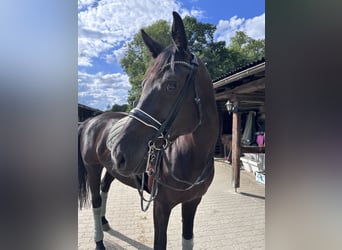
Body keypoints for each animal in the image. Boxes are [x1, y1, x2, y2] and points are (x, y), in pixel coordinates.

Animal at [79, 11, 219, 250]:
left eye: (171, 84)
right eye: (143, 84)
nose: (120, 152)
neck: (190, 157)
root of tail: (92, 120)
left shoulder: (192, 203)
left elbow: (188, 239)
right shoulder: (161, 206)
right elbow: (159, 243)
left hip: (111, 169)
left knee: (105, 188)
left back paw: (105, 222)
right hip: (92, 168)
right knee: (96, 201)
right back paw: (99, 241)